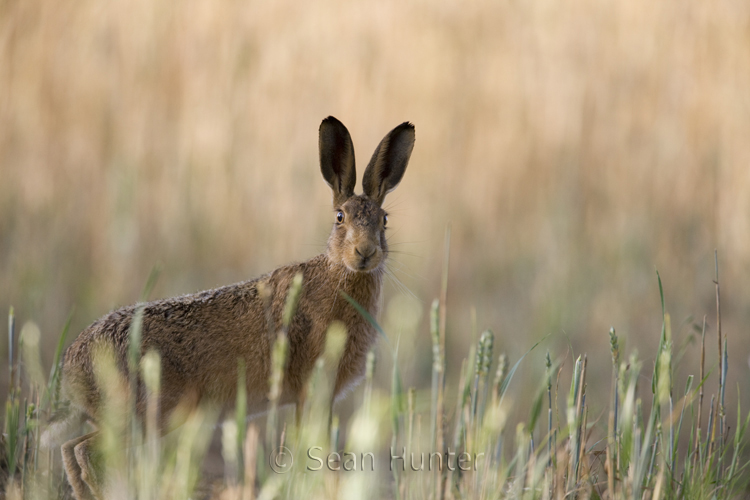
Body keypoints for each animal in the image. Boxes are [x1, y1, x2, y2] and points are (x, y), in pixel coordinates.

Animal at [44, 116, 415, 500]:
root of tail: (72, 370)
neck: (339, 273)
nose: (365, 252)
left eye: (384, 220)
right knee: (85, 451)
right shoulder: (313, 389)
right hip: (146, 413)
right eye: (340, 217)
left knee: (70, 449)